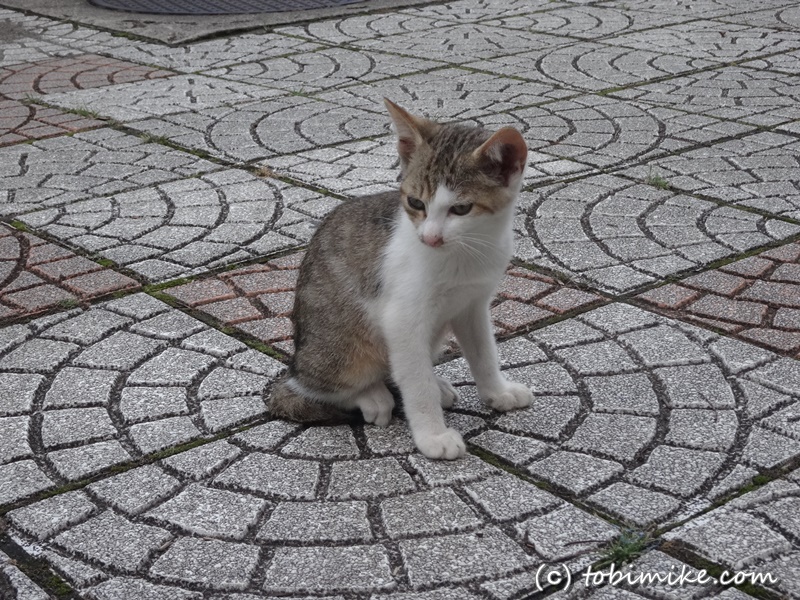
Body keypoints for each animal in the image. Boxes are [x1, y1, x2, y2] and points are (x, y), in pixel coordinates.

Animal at [272, 99, 536, 460]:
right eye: (415, 202)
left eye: (461, 209)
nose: (430, 238)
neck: (465, 253)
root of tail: (296, 362)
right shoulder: (402, 318)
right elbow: (416, 381)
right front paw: (433, 435)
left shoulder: (473, 304)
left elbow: (484, 353)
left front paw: (497, 391)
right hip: (342, 348)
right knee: (319, 387)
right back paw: (372, 395)